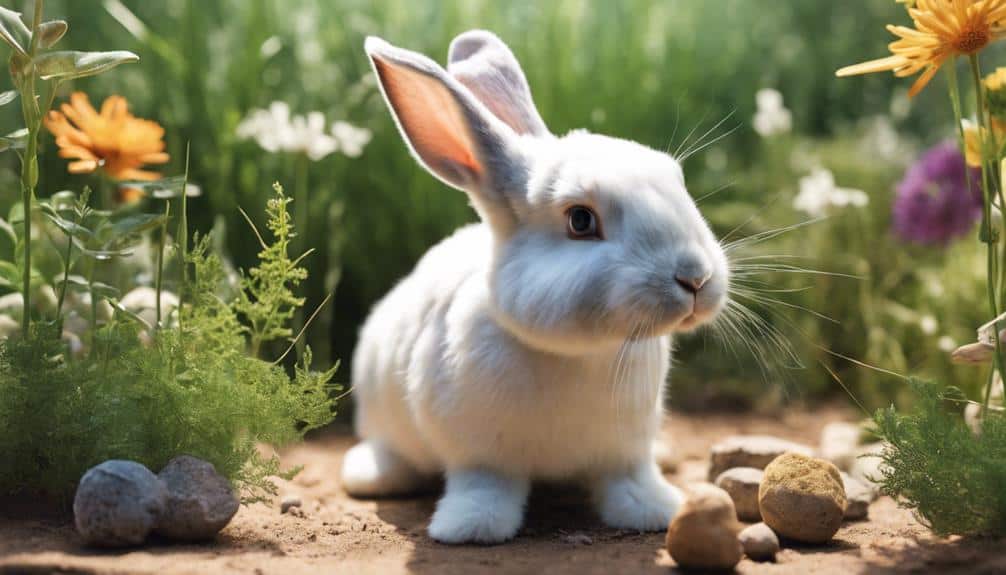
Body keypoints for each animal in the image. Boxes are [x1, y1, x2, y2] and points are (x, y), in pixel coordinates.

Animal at [341, 30, 730, 545]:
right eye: (581, 220)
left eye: (676, 181)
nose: (696, 277)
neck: (583, 354)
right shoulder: (479, 453)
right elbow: (485, 486)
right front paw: (471, 528)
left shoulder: (625, 451)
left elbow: (629, 481)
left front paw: (655, 512)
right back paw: (372, 474)